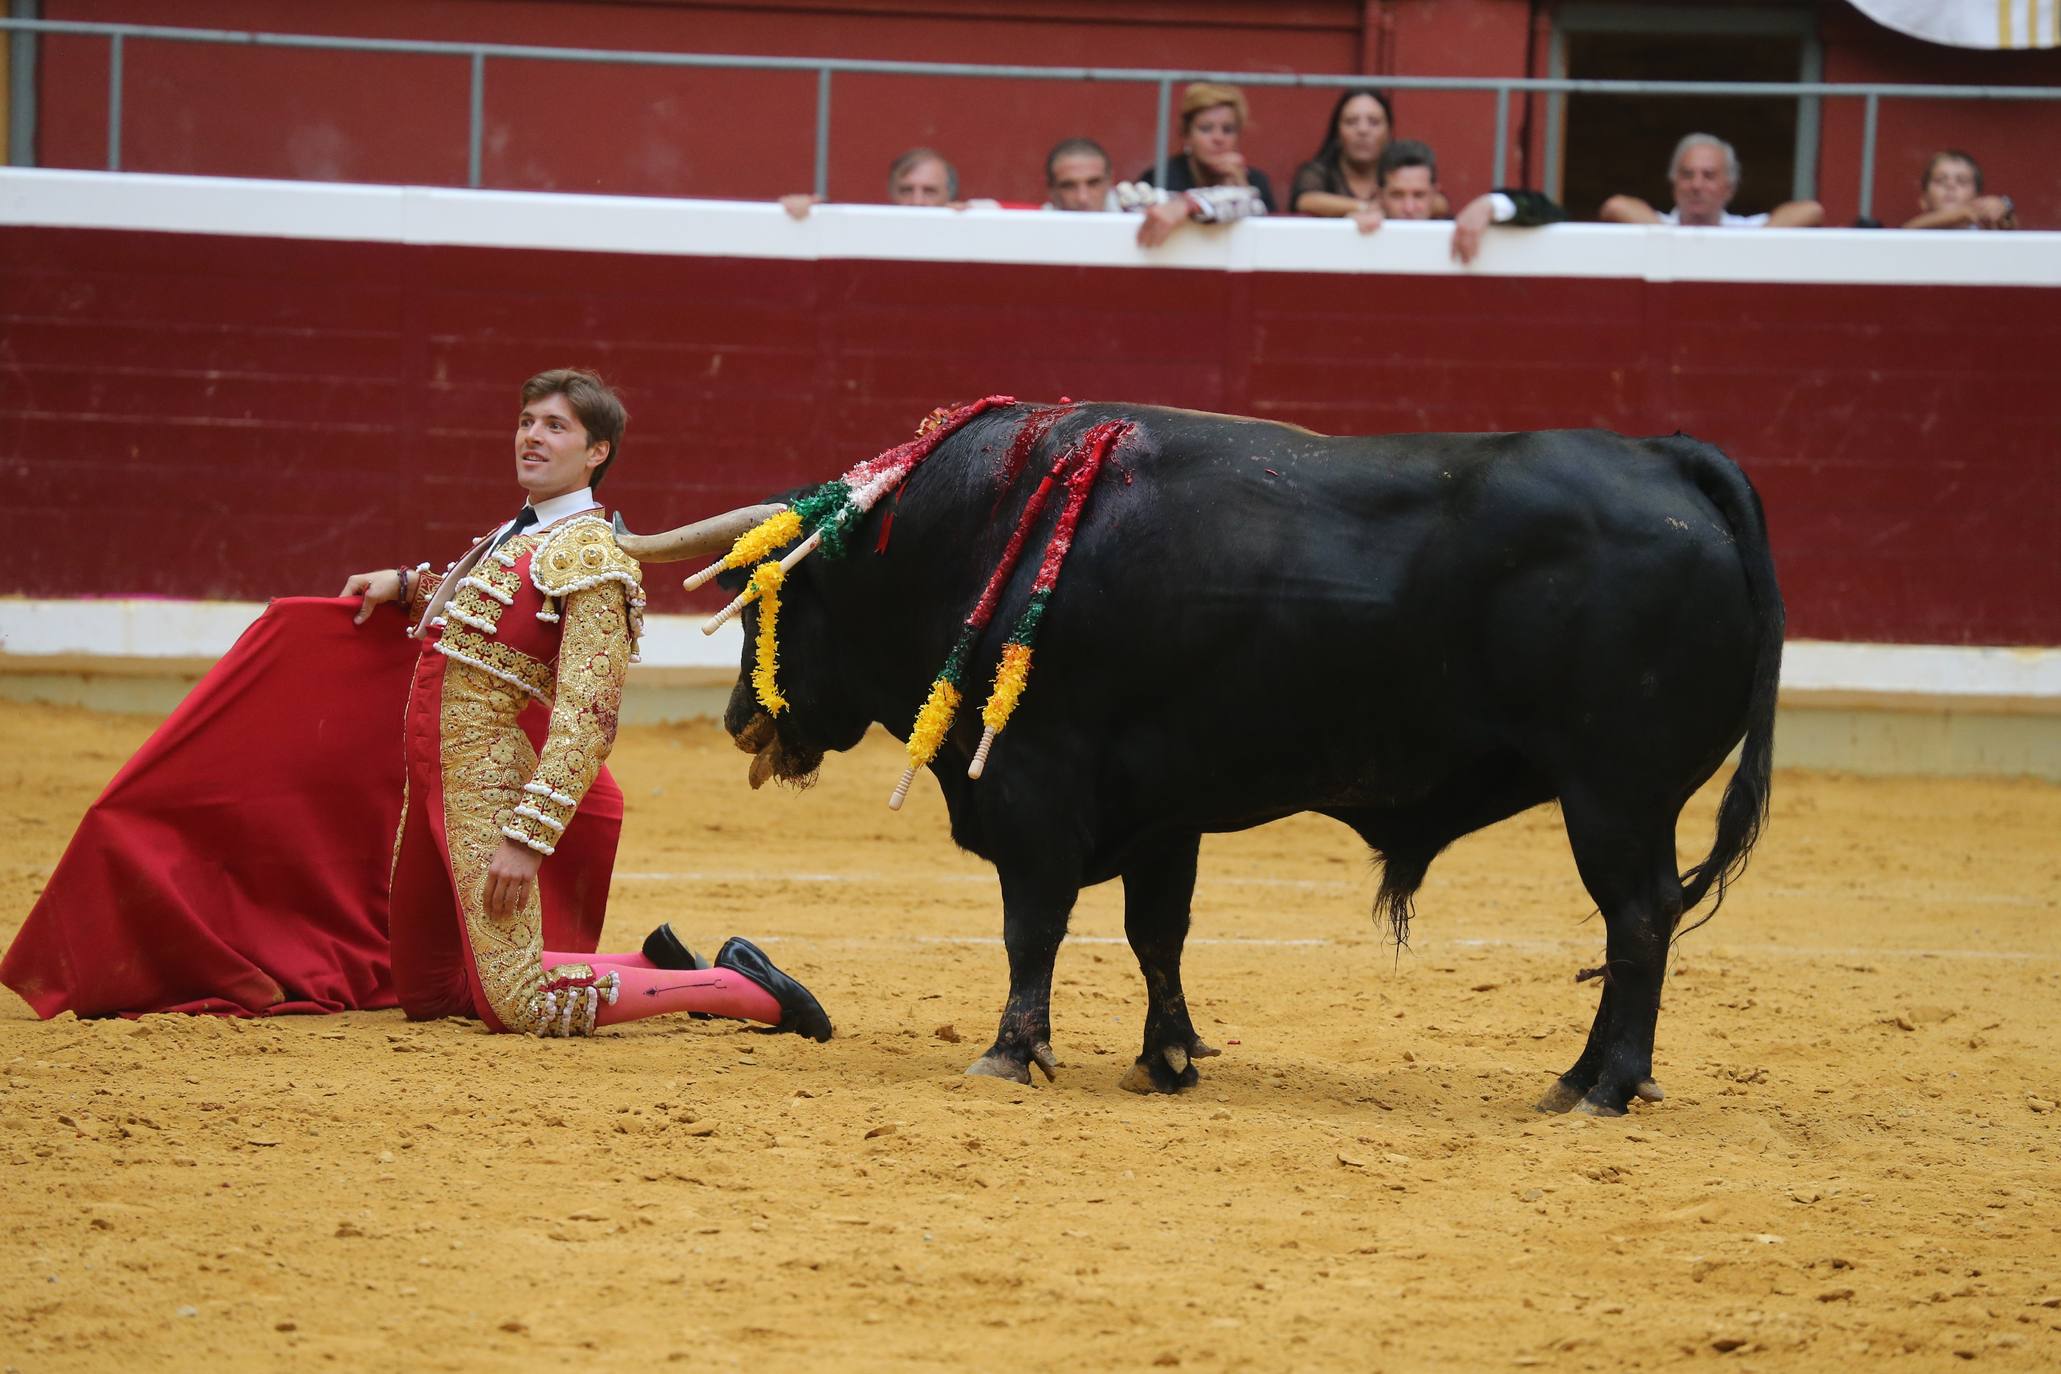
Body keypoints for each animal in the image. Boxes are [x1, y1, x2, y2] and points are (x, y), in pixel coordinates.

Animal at [708, 403, 1772, 1112]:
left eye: (768, 603)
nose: (736, 721)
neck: (975, 535)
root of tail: (1667, 460)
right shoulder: (1158, 810)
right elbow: (1156, 933)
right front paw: (1167, 1058)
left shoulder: (1034, 790)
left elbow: (1032, 926)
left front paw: (1011, 1053)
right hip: (1631, 803)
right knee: (1639, 924)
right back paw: (1576, 1079)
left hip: (1612, 794)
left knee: (1639, 919)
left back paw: (1606, 1086)